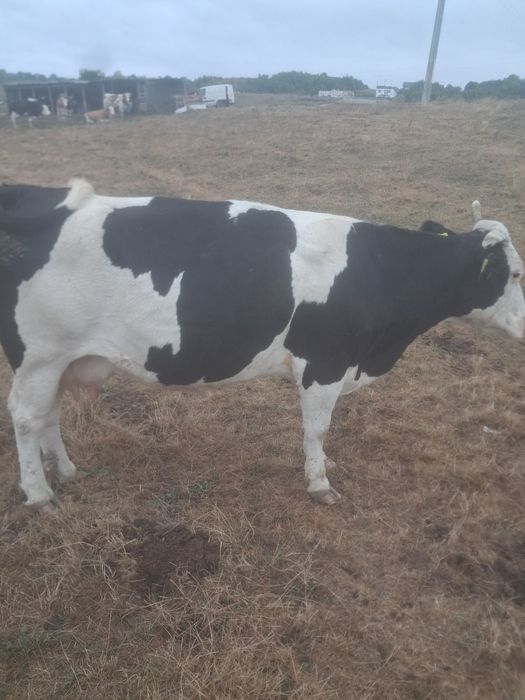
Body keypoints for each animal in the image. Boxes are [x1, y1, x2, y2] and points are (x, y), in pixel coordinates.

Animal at [0, 179, 523, 509]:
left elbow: (319, 432)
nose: (524, 322)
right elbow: (318, 427)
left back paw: (66, 470)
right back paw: (40, 494)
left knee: (49, 413)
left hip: (61, 359)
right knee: (26, 418)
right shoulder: (324, 363)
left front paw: (322, 465)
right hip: (40, 355)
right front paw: (320, 482)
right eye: (515, 273)